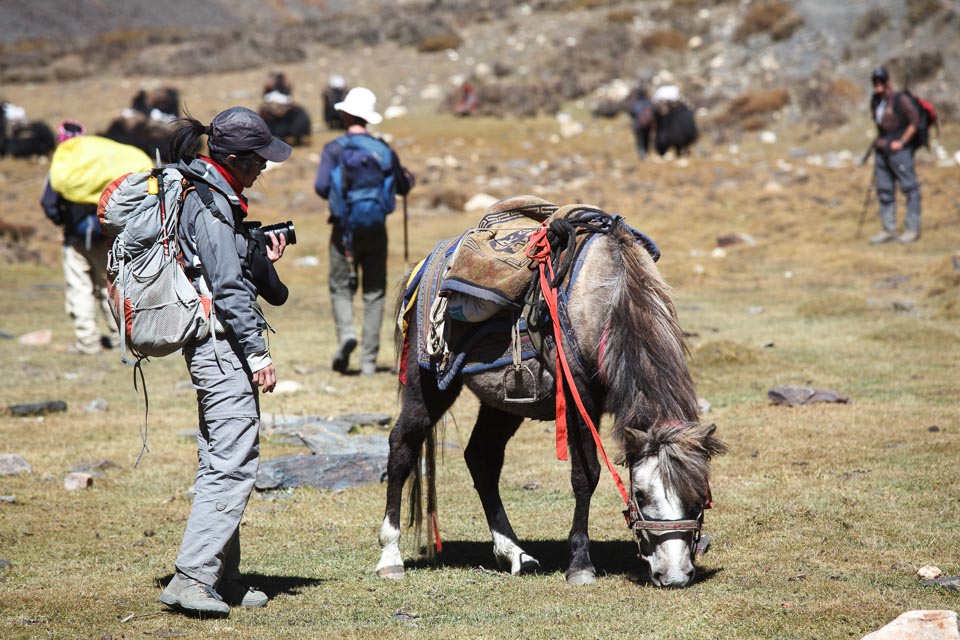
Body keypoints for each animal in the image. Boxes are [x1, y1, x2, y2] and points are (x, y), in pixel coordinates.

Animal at [378, 204, 724, 584]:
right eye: (640, 494)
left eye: (700, 495)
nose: (675, 575)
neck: (610, 299)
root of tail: (425, 264)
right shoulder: (578, 399)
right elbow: (586, 475)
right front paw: (581, 565)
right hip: (428, 385)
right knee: (402, 445)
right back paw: (390, 557)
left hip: (504, 402)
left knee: (482, 457)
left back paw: (516, 554)